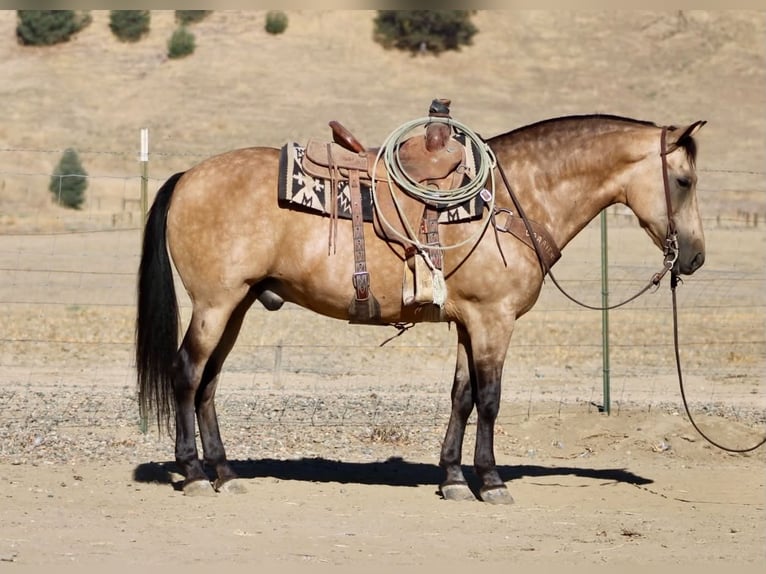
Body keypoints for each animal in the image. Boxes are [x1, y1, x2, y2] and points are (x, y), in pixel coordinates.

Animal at [136, 113, 706, 503]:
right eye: (684, 181)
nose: (696, 256)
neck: (513, 200)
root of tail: (187, 176)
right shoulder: (494, 321)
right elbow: (490, 399)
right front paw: (491, 481)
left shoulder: (469, 322)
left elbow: (461, 397)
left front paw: (453, 478)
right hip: (215, 304)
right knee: (187, 374)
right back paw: (193, 473)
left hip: (237, 306)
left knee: (209, 383)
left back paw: (225, 473)